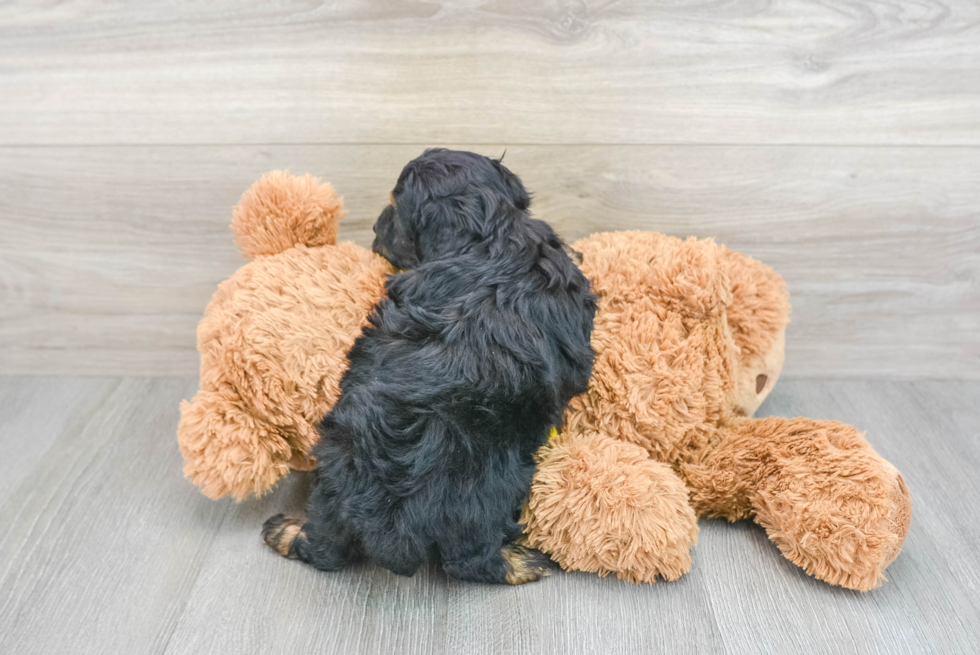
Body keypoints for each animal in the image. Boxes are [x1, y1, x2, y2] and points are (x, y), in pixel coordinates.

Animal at [262, 149, 596, 584]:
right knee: (471, 559)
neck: (490, 231)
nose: (374, 227)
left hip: (337, 463)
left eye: (394, 206)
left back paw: (287, 531)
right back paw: (520, 562)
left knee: (328, 545)